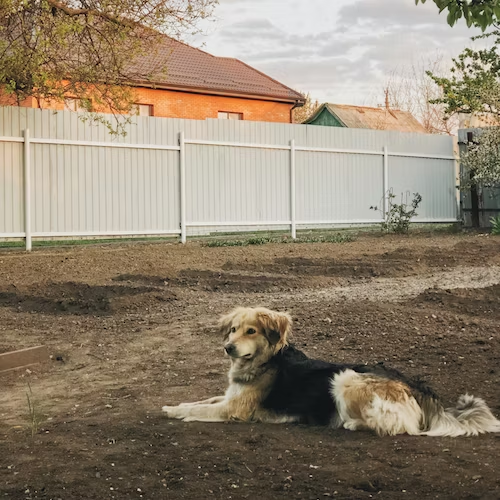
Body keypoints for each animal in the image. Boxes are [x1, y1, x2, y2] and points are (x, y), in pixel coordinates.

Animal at [162, 306, 500, 436]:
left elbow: (201, 410)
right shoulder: (229, 396)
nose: (228, 348)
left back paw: (350, 423)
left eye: (251, 331)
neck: (263, 362)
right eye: (232, 329)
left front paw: (177, 413)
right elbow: (201, 401)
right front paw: (172, 406)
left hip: (344, 378)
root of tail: (415, 386)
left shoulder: (236, 408)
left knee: (399, 426)